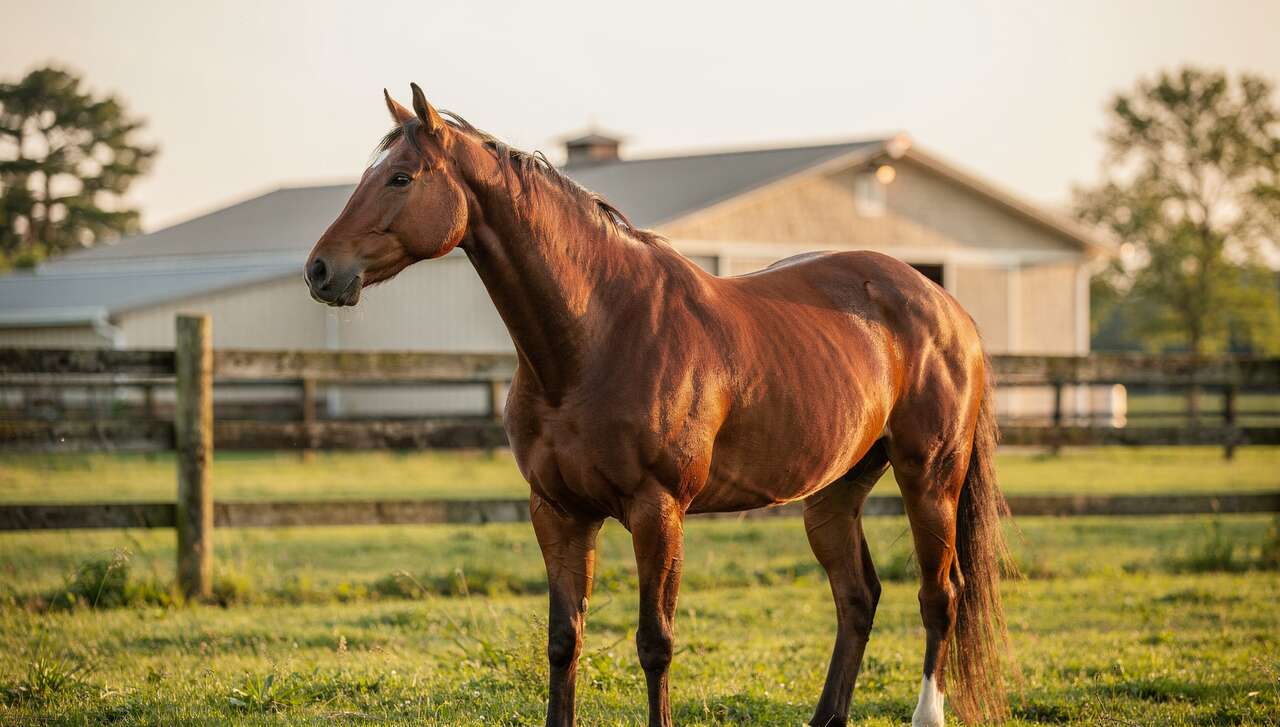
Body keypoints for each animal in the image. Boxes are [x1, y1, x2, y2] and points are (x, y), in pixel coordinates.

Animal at [305, 84, 1014, 727]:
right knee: (858, 596)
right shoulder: (558, 512)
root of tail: (943, 304)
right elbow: (563, 641)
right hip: (834, 492)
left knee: (939, 595)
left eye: (400, 177)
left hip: (929, 478)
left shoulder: (658, 510)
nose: (319, 270)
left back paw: (927, 713)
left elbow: (655, 643)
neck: (597, 337)